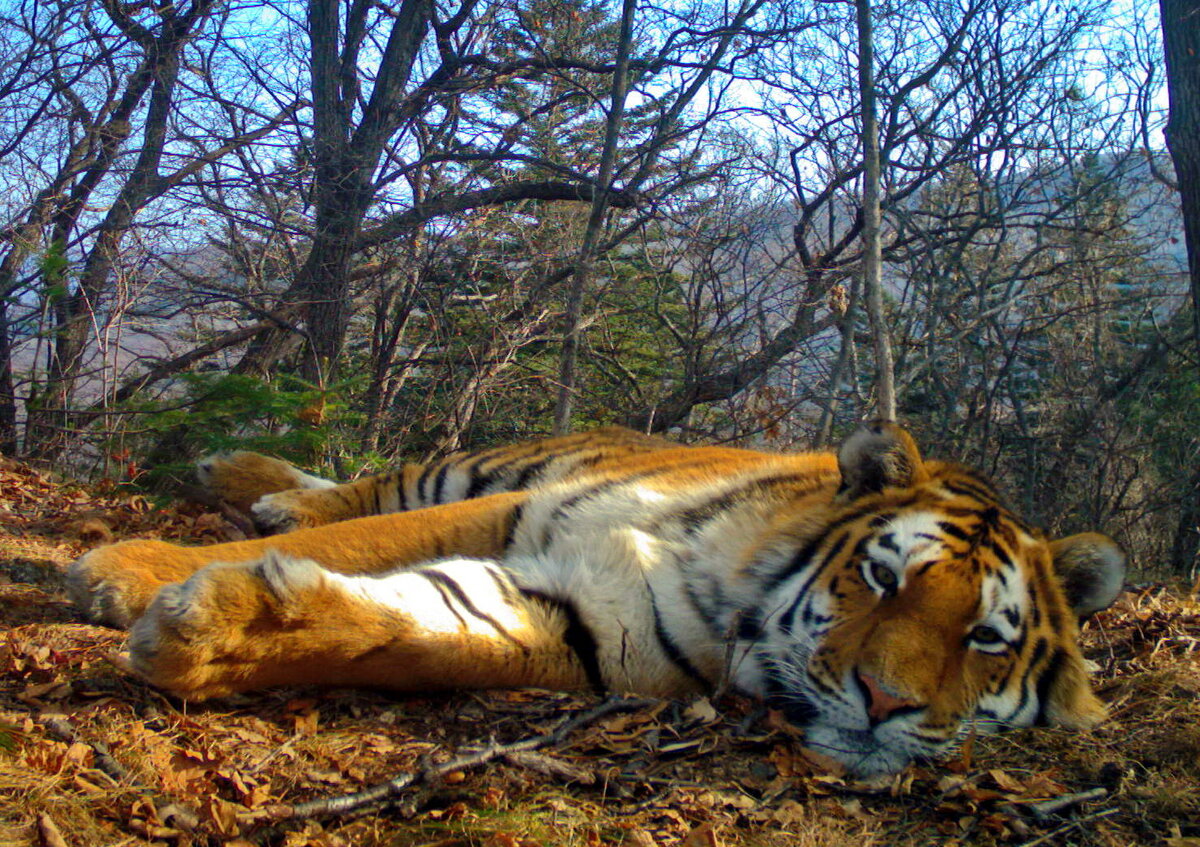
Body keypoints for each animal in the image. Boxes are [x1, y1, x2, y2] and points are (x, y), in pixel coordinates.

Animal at [68, 422, 1123, 772]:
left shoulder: (596, 626)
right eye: (880, 576)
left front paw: (211, 634)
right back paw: (246, 480)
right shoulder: (515, 506)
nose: (886, 703)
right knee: (366, 488)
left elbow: (429, 629)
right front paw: (123, 571)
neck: (741, 608)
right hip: (480, 465)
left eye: (986, 637)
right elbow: (349, 540)